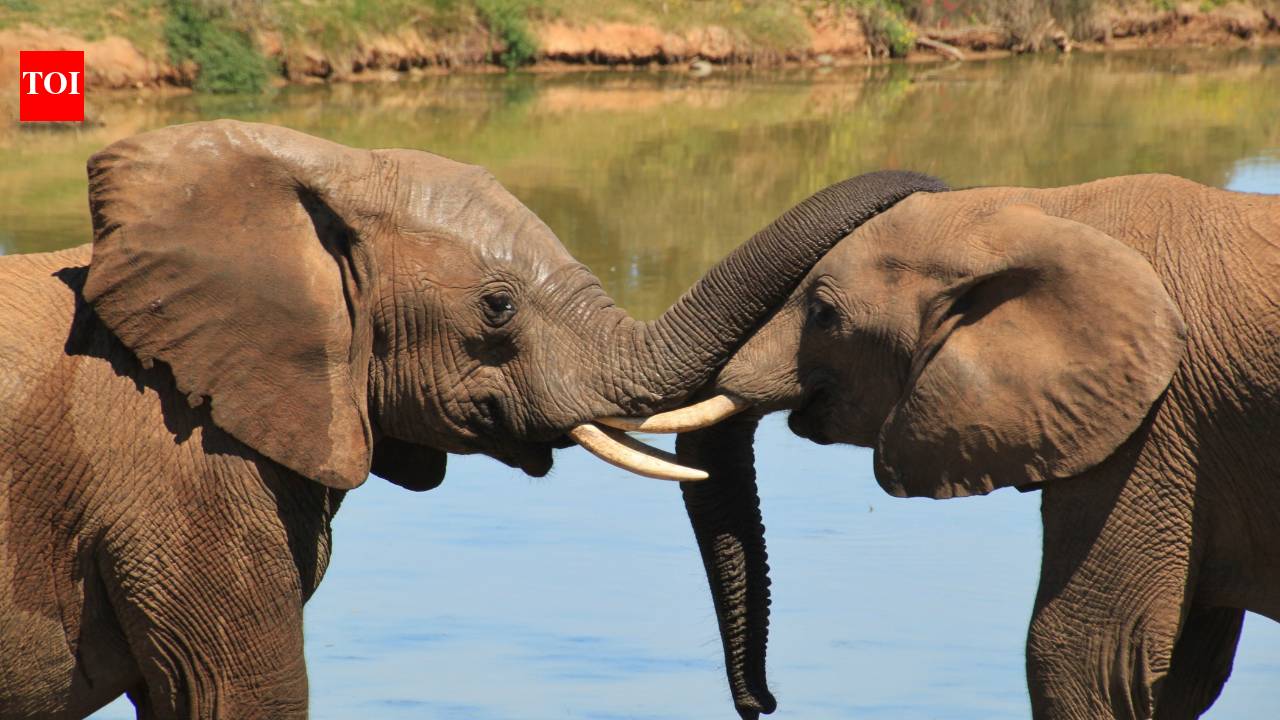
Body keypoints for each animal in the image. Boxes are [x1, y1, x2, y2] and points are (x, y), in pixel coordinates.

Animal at [646, 174, 1280, 719]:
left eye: (823, 315)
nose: (763, 704)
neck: (1048, 212)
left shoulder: (1157, 428)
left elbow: (1083, 656)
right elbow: (1179, 672)